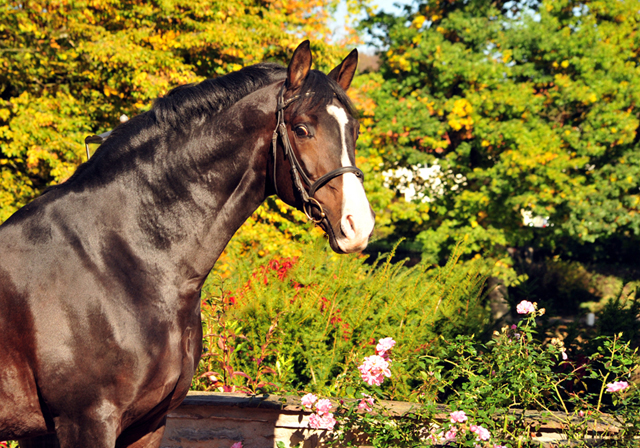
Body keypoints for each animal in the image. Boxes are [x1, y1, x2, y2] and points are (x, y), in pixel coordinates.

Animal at [0, 40, 376, 446]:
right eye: (303, 129)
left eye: (354, 130)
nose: (358, 225)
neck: (116, 260)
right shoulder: (85, 422)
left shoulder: (148, 423)